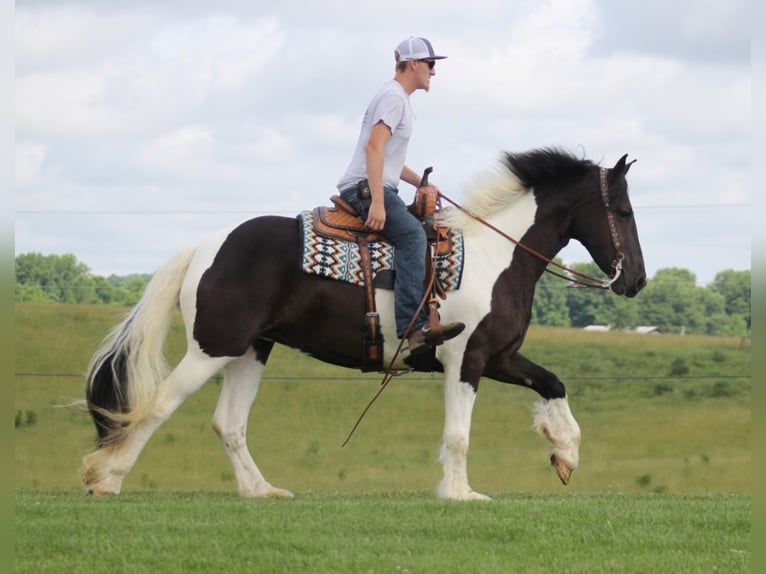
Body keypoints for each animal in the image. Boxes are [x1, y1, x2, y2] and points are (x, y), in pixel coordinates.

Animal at [82, 147, 648, 500]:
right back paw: (106, 478)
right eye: (622, 211)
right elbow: (459, 434)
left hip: (251, 350)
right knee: (156, 406)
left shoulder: (500, 356)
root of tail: (204, 246)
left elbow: (554, 383)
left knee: (229, 423)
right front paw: (461, 493)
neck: (498, 254)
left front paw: (565, 454)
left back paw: (261, 490)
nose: (636, 280)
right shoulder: (465, 359)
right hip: (212, 349)